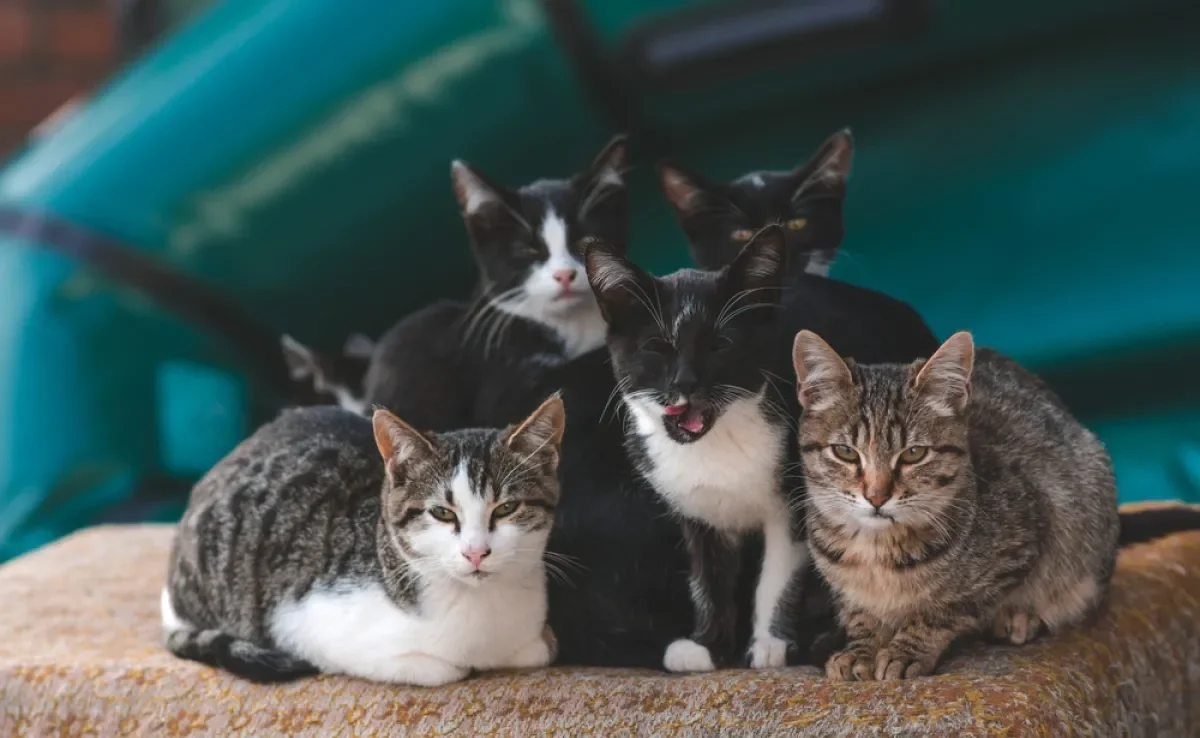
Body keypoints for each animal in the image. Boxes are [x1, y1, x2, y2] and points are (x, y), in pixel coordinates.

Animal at [160, 398, 566, 686]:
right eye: (442, 513)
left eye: (507, 508)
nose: (476, 552)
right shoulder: (300, 624)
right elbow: (440, 669)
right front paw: (453, 665)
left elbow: (541, 648)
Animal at [583, 223, 806, 672]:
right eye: (656, 347)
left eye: (719, 345)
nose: (684, 383)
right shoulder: (694, 507)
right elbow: (708, 576)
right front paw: (706, 646)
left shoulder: (794, 495)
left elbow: (778, 571)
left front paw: (770, 644)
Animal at [792, 328, 1118, 681]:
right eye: (846, 452)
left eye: (914, 454)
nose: (877, 496)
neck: (876, 551)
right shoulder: (847, 591)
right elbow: (860, 616)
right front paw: (860, 650)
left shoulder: (1020, 544)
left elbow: (944, 610)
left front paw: (906, 650)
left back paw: (1019, 617)